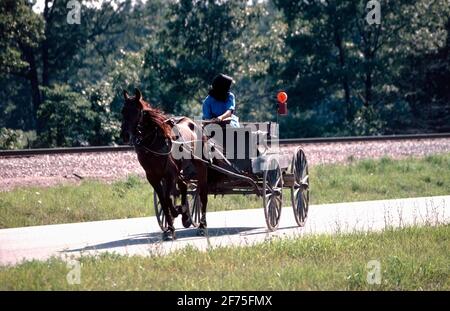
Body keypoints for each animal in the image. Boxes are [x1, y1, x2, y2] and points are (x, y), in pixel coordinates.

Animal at [120, 89, 210, 240]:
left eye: (136, 111)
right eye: (123, 111)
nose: (125, 135)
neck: (154, 142)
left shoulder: (170, 174)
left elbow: (168, 198)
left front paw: (176, 212)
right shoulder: (153, 177)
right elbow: (163, 200)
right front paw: (169, 229)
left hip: (200, 166)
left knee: (202, 194)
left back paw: (202, 225)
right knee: (183, 186)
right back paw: (186, 216)